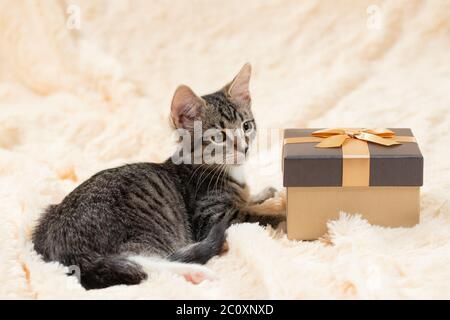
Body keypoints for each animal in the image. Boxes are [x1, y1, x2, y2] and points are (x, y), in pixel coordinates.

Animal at [33, 64, 284, 290]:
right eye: (218, 137)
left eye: (247, 126)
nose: (245, 147)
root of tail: (60, 248)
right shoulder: (211, 216)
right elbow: (255, 215)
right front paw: (279, 210)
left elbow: (247, 199)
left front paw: (264, 193)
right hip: (143, 229)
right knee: (138, 264)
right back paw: (195, 272)